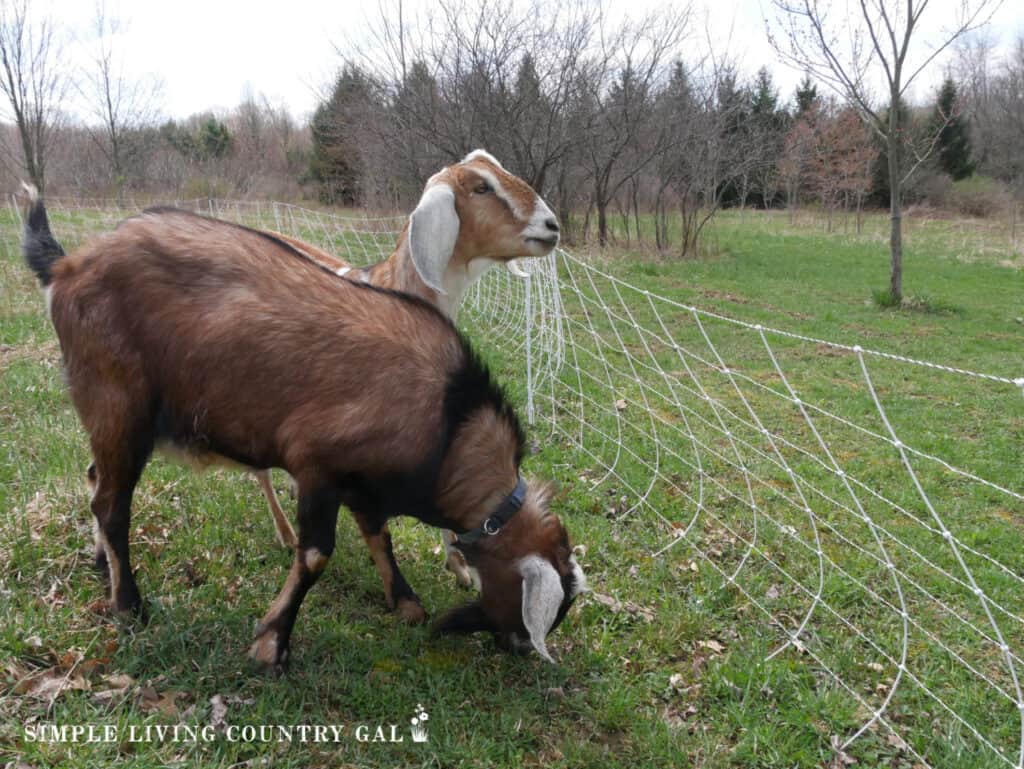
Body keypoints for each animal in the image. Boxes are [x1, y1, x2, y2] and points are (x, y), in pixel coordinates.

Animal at [22, 189, 585, 671]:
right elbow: (316, 555)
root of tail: (66, 266)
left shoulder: (363, 481)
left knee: (95, 478)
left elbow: (379, 533)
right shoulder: (318, 465)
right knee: (111, 505)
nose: (520, 647)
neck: (451, 420)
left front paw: (405, 602)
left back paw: (102, 565)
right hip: (119, 402)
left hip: (115, 417)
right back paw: (129, 604)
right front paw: (271, 643)